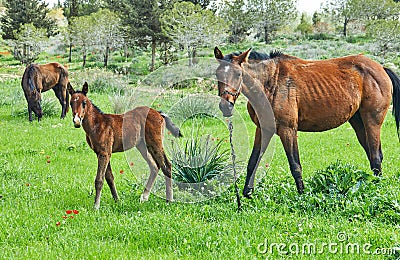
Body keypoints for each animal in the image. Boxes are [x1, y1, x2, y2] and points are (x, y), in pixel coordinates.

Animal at [214, 46, 400, 197]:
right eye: (217, 74)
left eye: (238, 74)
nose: (225, 105)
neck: (270, 83)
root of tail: (381, 68)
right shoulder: (263, 129)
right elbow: (252, 161)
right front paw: (247, 193)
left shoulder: (288, 130)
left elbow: (295, 164)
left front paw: (302, 194)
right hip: (359, 124)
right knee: (373, 154)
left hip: (372, 122)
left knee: (375, 156)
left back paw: (376, 188)